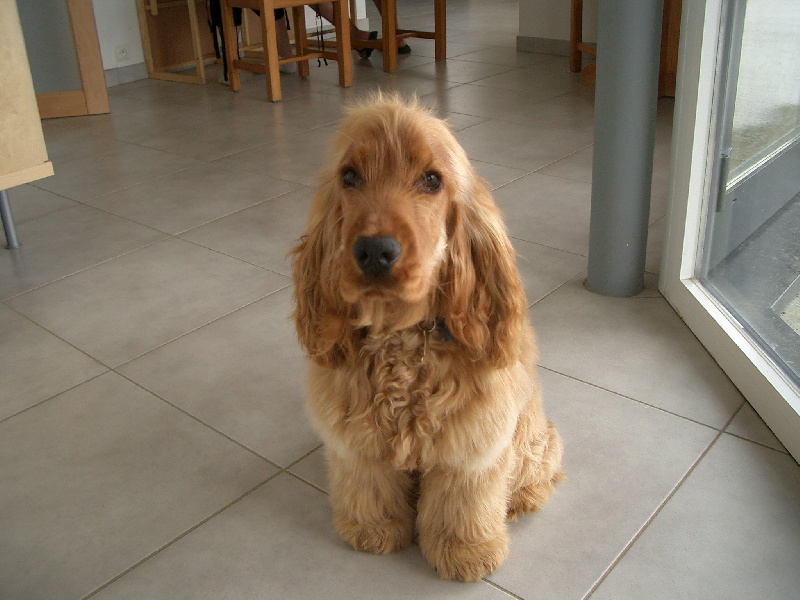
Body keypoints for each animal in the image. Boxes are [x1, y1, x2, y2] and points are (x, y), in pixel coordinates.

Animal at [292, 94, 564, 580]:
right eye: (349, 176)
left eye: (431, 180)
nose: (375, 251)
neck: (401, 337)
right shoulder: (356, 439)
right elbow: (368, 484)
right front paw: (374, 529)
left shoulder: (474, 444)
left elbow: (464, 503)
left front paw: (466, 551)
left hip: (530, 433)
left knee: (541, 461)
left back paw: (522, 499)